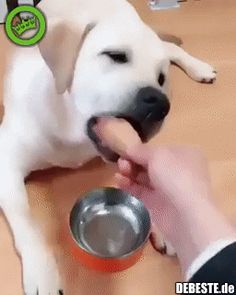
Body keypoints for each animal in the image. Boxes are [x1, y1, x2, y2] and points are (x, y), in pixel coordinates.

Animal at [0, 0, 217, 294]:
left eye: (161, 78)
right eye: (115, 56)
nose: (161, 104)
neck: (71, 127)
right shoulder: (6, 161)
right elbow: (26, 219)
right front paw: (42, 271)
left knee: (169, 47)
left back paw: (199, 68)